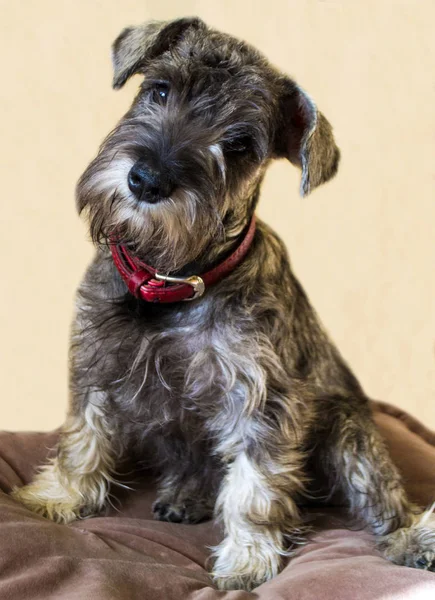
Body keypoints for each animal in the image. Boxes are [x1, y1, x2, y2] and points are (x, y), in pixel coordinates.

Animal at [11, 17, 435, 592]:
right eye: (158, 90)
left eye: (238, 144)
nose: (147, 180)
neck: (172, 278)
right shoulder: (98, 364)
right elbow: (83, 439)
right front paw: (55, 498)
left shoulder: (262, 399)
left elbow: (254, 488)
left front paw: (247, 559)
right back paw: (185, 496)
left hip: (349, 432)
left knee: (381, 495)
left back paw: (411, 537)